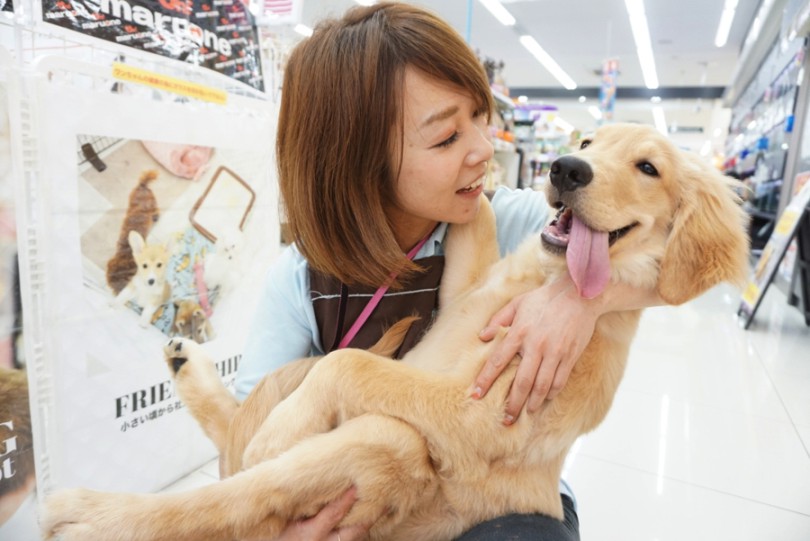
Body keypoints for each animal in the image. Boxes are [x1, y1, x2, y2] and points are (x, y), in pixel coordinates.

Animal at [41, 122, 748, 540]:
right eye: (589, 142)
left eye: (649, 168)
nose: (565, 168)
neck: (539, 284)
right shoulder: (465, 276)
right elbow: (474, 206)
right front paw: (481, 162)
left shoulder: (481, 415)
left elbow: (351, 364)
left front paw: (283, 432)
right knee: (237, 428)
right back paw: (183, 360)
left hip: (390, 445)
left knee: (232, 493)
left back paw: (84, 513)